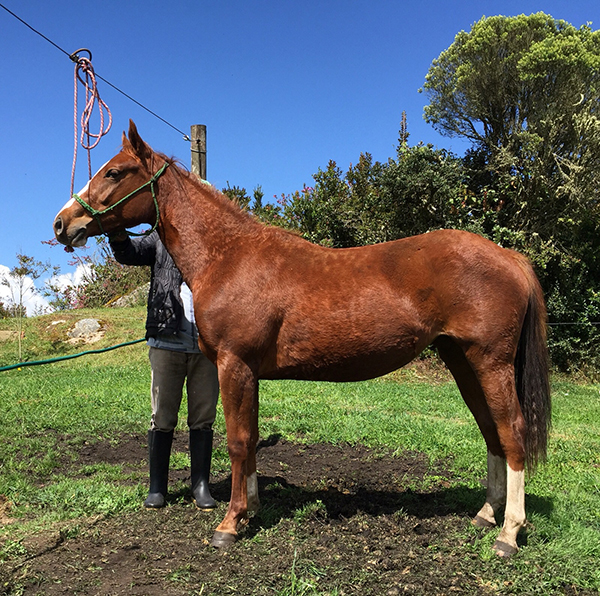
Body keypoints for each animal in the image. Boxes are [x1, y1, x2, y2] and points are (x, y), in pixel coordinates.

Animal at [54, 122, 552, 560]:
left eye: (114, 172)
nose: (62, 223)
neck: (229, 256)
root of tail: (508, 256)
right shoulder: (247, 372)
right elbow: (251, 437)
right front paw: (252, 510)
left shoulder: (234, 365)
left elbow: (238, 441)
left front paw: (230, 524)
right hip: (462, 361)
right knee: (490, 431)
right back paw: (485, 515)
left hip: (489, 362)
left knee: (512, 433)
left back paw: (508, 533)